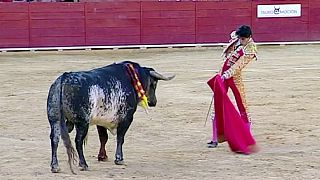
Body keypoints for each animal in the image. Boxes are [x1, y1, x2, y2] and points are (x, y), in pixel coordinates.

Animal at [47, 61, 175, 174]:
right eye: (154, 83)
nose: (153, 102)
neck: (132, 78)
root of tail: (64, 78)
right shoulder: (127, 118)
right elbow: (120, 138)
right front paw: (119, 159)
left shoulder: (100, 120)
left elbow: (103, 138)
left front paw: (102, 156)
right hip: (82, 123)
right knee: (78, 140)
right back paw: (83, 164)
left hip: (55, 120)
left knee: (54, 139)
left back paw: (55, 166)